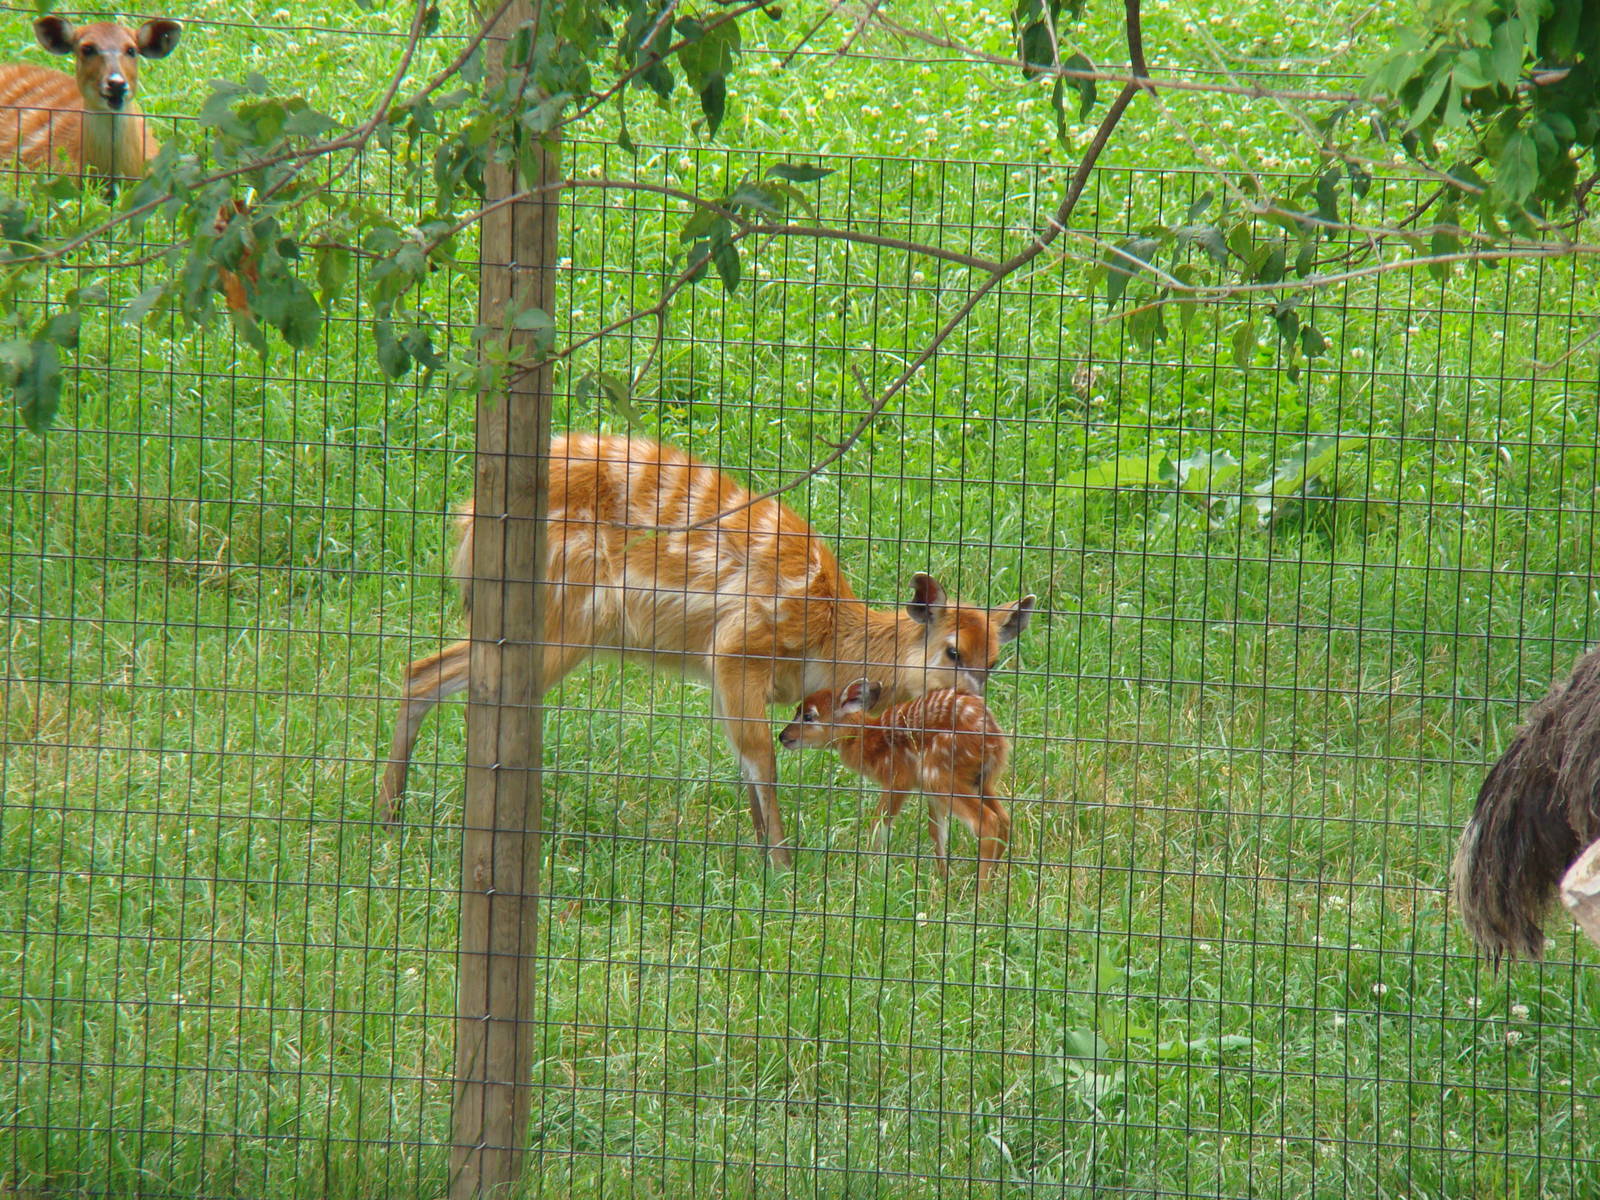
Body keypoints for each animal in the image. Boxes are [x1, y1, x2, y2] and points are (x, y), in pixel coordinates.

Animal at [778, 679, 1013, 889]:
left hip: (938, 773)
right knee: (1004, 818)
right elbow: (936, 832)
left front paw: (867, 872)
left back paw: (981, 894)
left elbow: (877, 822)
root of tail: (993, 738)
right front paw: (942, 880)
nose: (782, 736)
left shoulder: (899, 777)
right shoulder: (925, 789)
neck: (869, 741)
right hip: (978, 779)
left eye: (808, 716)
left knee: (987, 821)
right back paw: (991, 881)